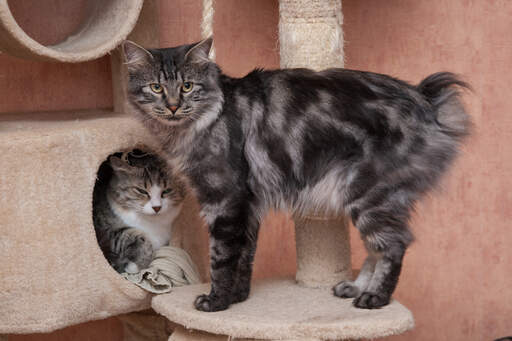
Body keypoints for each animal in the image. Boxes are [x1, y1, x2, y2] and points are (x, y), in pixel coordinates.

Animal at [122, 37, 470, 310]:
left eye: (187, 86)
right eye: (156, 87)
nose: (172, 106)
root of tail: (423, 96)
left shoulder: (224, 201)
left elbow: (221, 258)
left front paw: (216, 302)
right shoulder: (248, 207)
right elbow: (244, 257)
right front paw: (238, 298)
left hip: (369, 195)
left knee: (394, 245)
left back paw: (374, 298)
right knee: (376, 248)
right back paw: (356, 288)